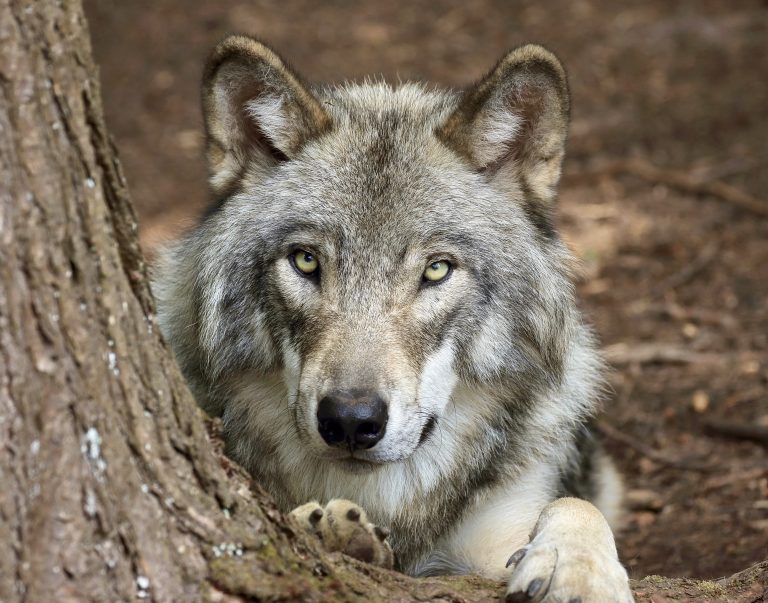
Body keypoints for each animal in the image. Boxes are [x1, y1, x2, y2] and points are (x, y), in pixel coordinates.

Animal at [153, 35, 634, 601]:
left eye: (437, 269)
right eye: (306, 261)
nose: (350, 420)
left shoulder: (496, 538)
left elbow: (573, 506)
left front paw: (577, 569)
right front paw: (336, 531)